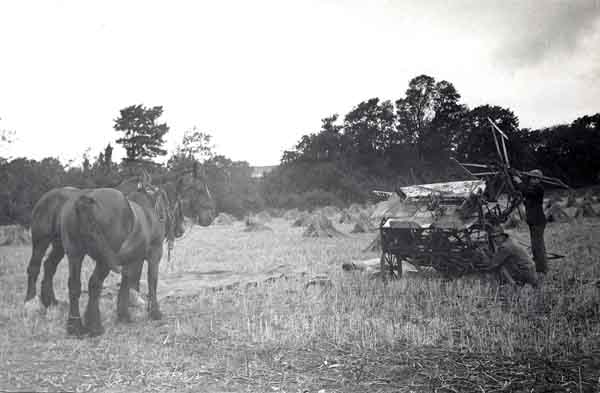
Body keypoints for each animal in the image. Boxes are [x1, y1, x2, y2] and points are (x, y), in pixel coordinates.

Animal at [25, 179, 184, 336]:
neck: (149, 209)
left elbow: (127, 281)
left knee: (67, 280)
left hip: (70, 251)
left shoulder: (132, 259)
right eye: (176, 202)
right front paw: (154, 312)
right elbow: (151, 280)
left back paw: (72, 322)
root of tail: (84, 200)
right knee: (90, 283)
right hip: (50, 244)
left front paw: (123, 314)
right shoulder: (154, 254)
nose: (181, 230)